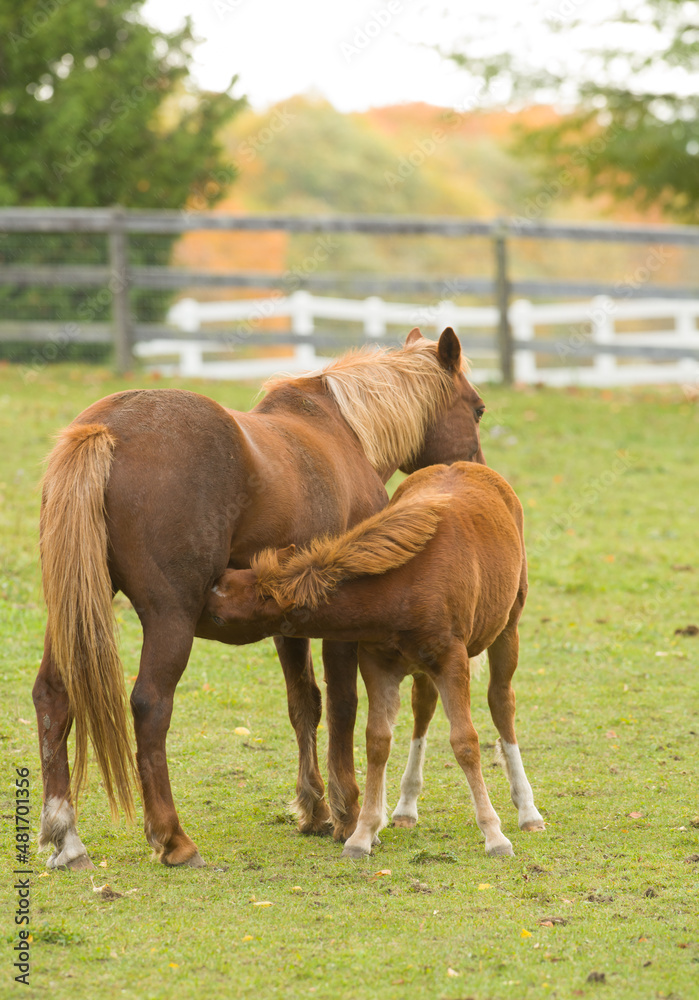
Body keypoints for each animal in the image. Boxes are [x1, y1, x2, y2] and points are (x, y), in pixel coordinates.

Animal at [35, 327, 487, 870]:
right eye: (478, 409)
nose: (477, 472)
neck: (343, 431)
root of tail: (104, 429)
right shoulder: (341, 622)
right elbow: (343, 705)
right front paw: (348, 814)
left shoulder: (290, 619)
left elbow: (304, 703)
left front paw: (314, 809)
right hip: (170, 620)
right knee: (150, 705)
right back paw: (173, 838)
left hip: (73, 611)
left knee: (53, 696)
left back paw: (66, 837)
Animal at [206, 461, 545, 858]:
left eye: (218, 616)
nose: (197, 600)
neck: (403, 586)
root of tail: (465, 464)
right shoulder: (376, 664)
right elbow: (377, 741)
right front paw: (363, 833)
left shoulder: (452, 661)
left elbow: (465, 742)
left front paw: (494, 835)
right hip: (423, 667)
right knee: (423, 706)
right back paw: (406, 807)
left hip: (508, 627)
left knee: (501, 702)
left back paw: (527, 811)